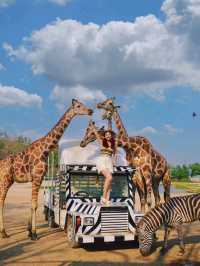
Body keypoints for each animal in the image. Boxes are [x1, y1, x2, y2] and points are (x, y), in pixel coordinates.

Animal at [0, 98, 92, 240]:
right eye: (78, 106)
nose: (90, 111)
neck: (45, 150)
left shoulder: (39, 177)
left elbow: (32, 203)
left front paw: (29, 231)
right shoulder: (37, 177)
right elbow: (34, 205)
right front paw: (34, 234)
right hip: (6, 180)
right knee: (1, 201)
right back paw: (4, 232)